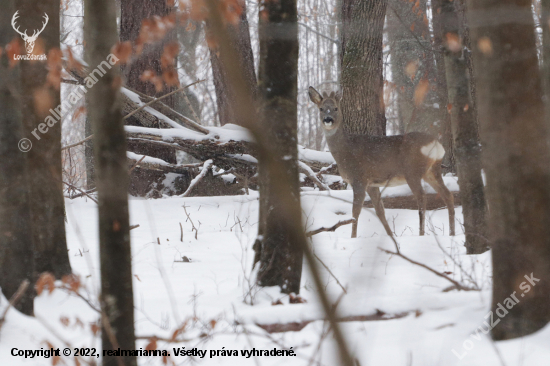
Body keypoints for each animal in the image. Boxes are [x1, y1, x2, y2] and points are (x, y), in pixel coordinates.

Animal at [310, 87, 458, 239]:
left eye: (335, 108)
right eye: (321, 108)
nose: (328, 120)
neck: (345, 151)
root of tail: (437, 145)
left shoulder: (359, 179)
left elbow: (355, 211)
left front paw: (353, 238)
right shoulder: (372, 184)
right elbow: (380, 210)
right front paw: (391, 236)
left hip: (413, 172)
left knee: (422, 197)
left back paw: (422, 234)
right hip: (432, 171)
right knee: (448, 195)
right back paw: (452, 233)